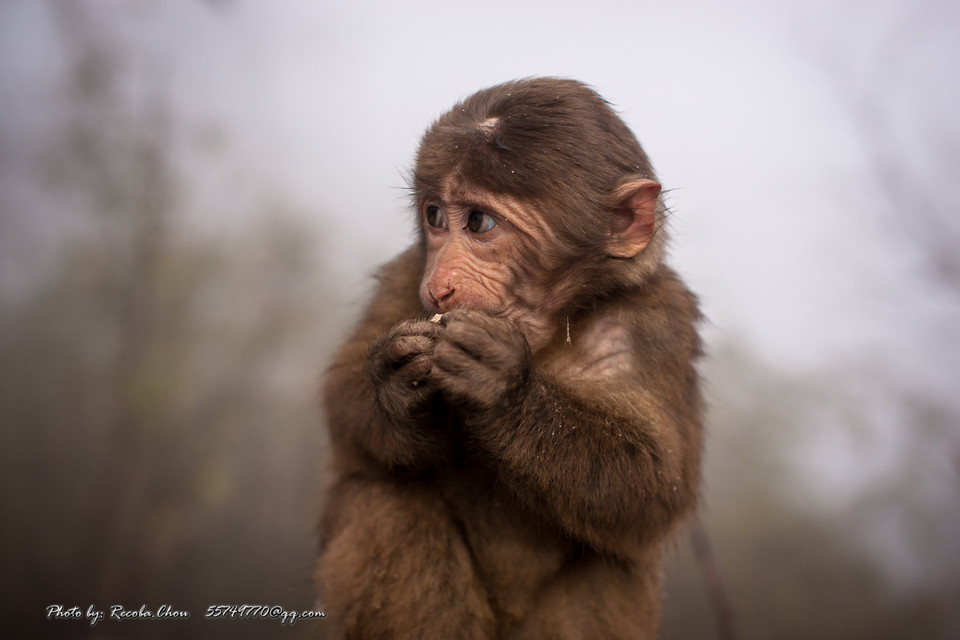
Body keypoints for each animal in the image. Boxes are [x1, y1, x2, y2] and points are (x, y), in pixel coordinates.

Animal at [318, 77, 700, 636]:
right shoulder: (406, 273)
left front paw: (502, 391)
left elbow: (653, 488)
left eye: (479, 223)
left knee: (610, 566)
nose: (439, 285)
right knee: (384, 498)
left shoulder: (663, 320)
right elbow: (344, 408)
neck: (546, 332)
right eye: (435, 216)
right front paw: (396, 388)